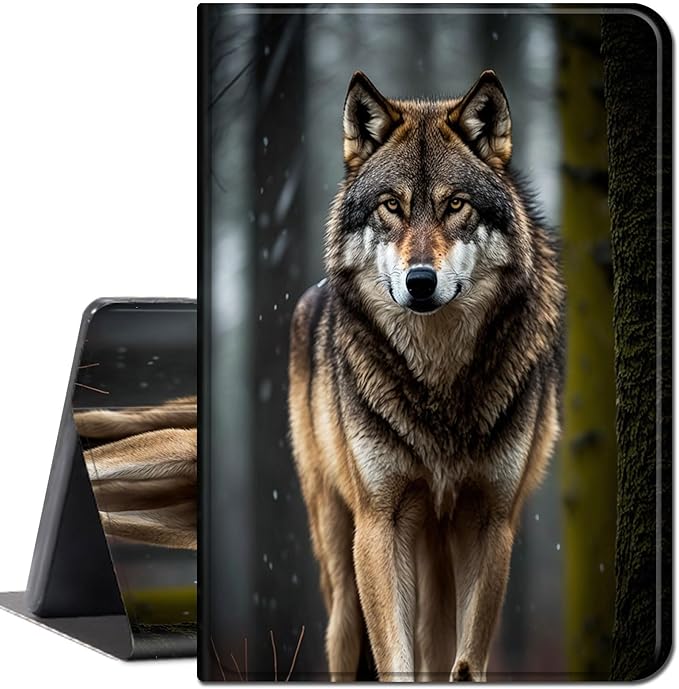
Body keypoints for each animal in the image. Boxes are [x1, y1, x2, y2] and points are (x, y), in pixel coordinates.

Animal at [288, 70, 564, 682]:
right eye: (391, 205)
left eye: (455, 204)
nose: (420, 280)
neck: (438, 379)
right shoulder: (380, 522)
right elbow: (395, 657)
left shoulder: (492, 522)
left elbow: (466, 660)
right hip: (341, 562)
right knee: (346, 634)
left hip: (439, 546)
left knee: (436, 647)